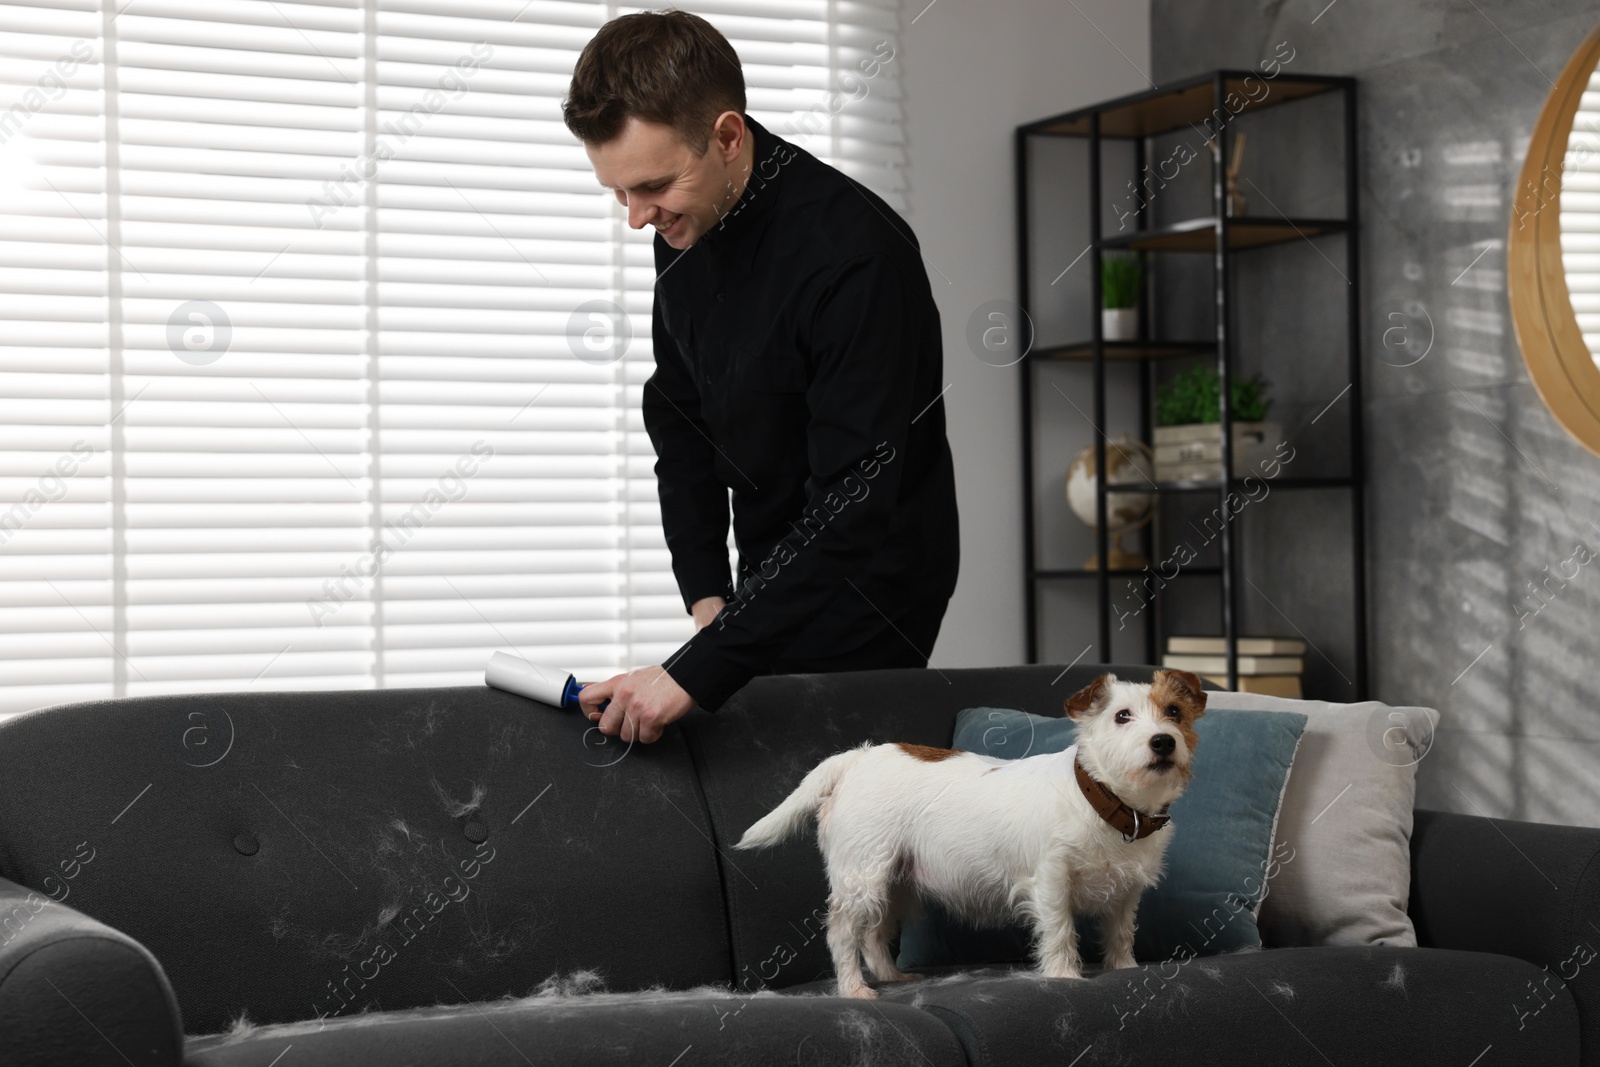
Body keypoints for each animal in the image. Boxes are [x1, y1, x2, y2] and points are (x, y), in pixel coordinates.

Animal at [732, 671, 1203, 998]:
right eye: (1122, 716)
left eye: (1174, 713)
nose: (1163, 742)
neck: (1107, 802)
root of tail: (856, 759)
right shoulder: (1051, 883)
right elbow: (1060, 931)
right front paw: (1065, 976)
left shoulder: (1125, 895)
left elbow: (1120, 933)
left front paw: (1124, 970)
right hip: (862, 877)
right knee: (844, 933)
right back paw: (855, 989)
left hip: (893, 882)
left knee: (873, 933)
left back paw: (890, 975)